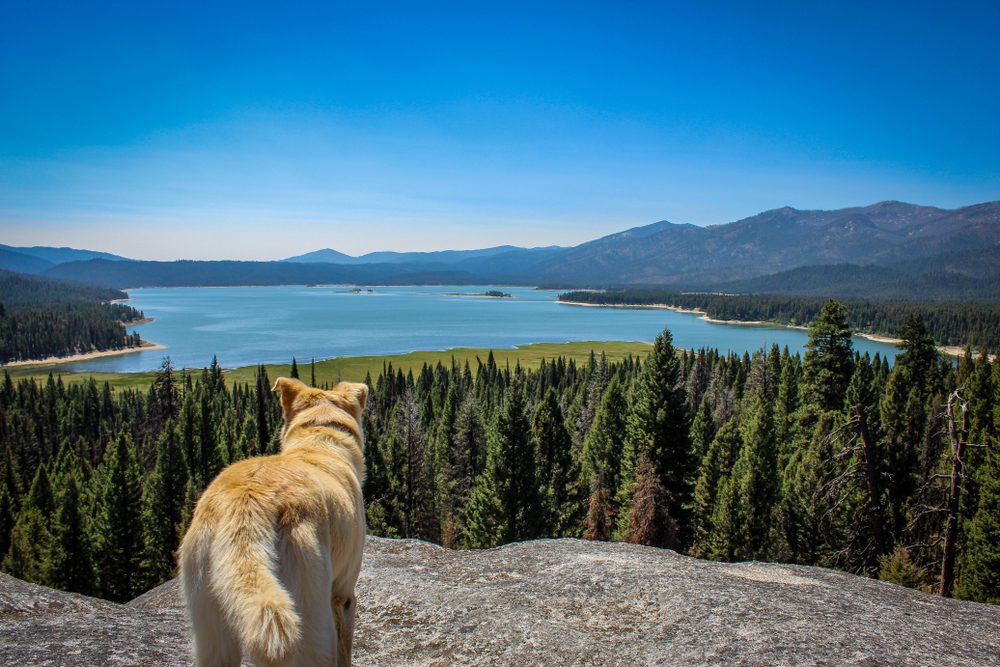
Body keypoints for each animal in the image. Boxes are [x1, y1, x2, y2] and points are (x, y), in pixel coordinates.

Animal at [179, 378, 368, 664]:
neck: (319, 436)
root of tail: (246, 506)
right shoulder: (343, 594)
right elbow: (344, 653)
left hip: (210, 618)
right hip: (310, 611)